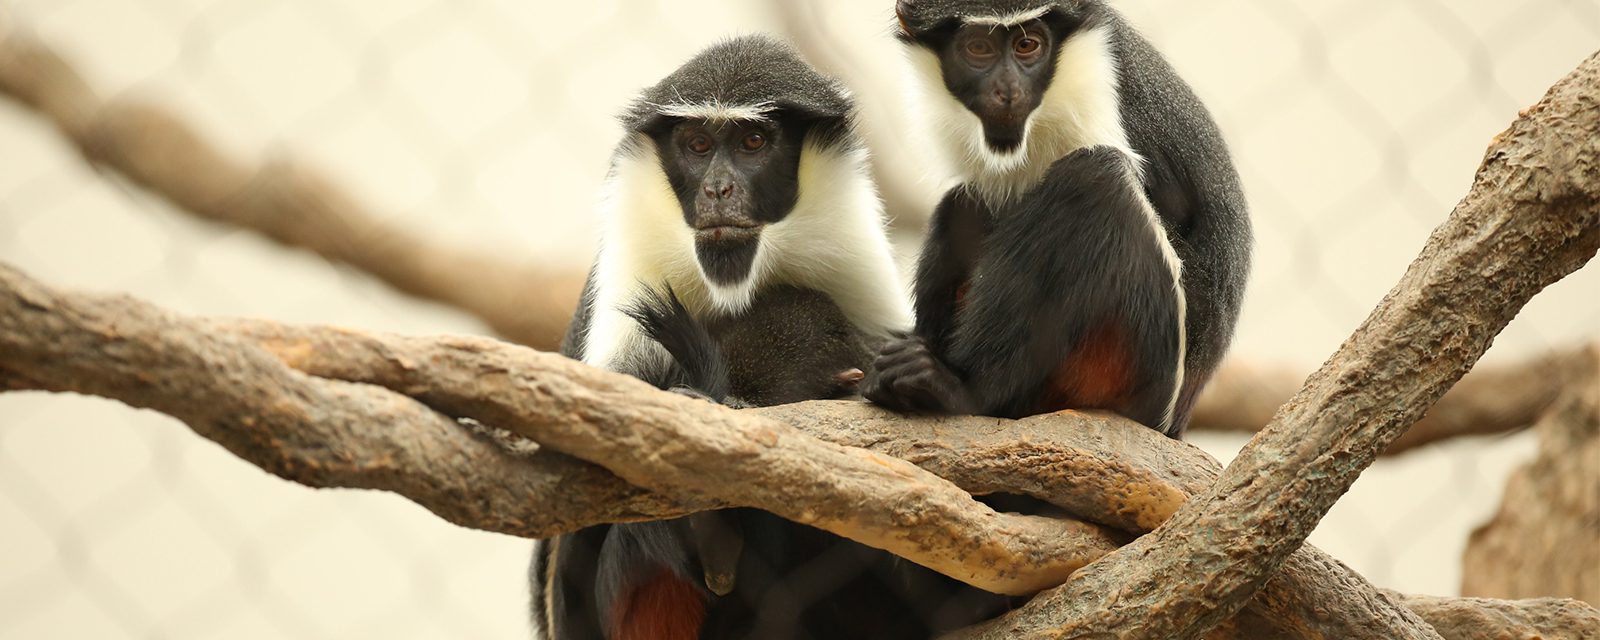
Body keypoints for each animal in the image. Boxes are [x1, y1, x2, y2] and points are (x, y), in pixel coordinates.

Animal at [864, 0, 1248, 438]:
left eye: (1027, 45)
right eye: (978, 48)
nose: (1009, 90)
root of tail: (1176, 420)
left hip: (1138, 371)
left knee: (1096, 179)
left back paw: (964, 392)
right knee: (966, 202)